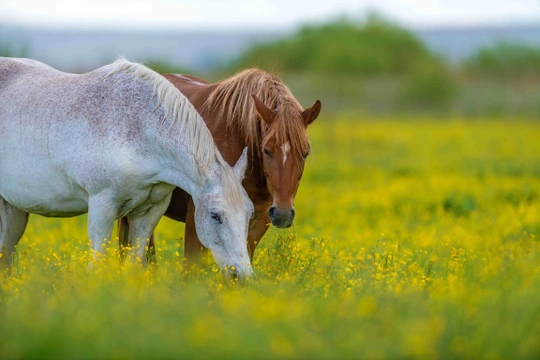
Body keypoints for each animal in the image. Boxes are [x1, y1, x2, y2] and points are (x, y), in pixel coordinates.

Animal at [0, 57, 254, 282]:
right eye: (215, 216)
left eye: (250, 214)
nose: (241, 277)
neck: (139, 130)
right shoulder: (102, 206)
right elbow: (97, 264)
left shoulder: (150, 211)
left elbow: (133, 264)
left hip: (13, 210)